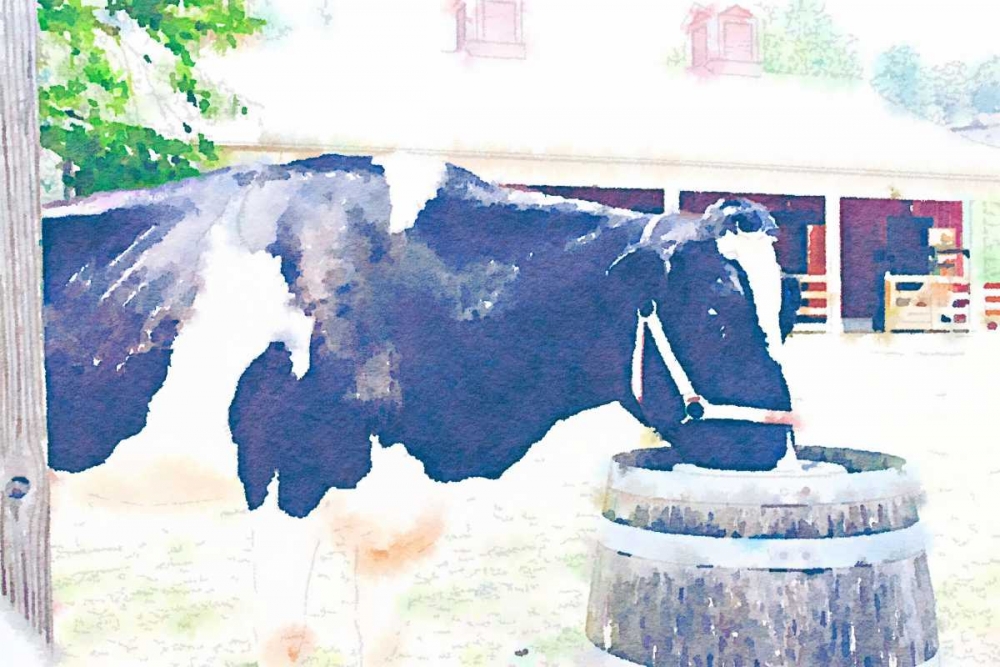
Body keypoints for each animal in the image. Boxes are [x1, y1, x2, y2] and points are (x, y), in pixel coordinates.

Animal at [41, 153, 801, 665]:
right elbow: (286, 637)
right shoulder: (285, 479)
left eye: (790, 307)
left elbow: (383, 640)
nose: (781, 451)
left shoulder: (399, 508)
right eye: (715, 311)